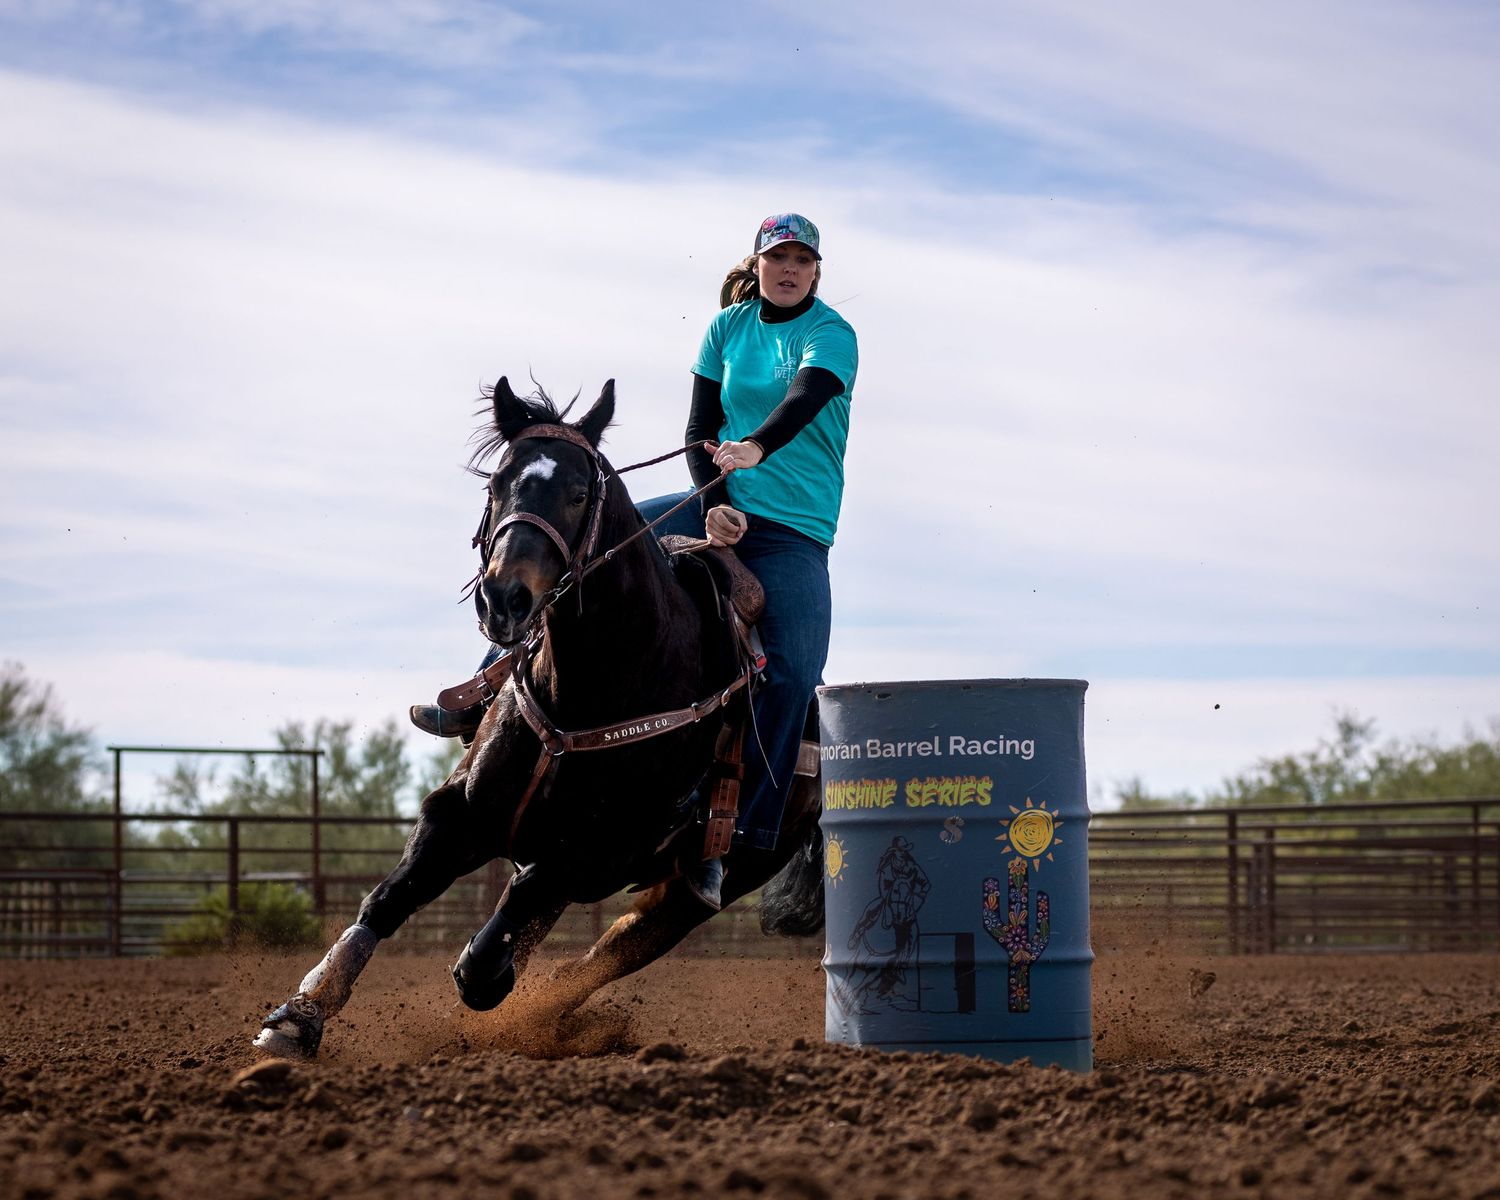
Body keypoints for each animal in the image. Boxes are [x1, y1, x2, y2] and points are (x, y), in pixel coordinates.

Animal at [255, 378, 826, 1058]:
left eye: (579, 493)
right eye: (497, 484)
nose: (505, 598)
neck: (594, 687)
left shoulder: (603, 854)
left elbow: (510, 920)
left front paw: (489, 971)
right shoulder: (459, 812)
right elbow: (387, 900)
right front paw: (299, 1016)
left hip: (708, 884)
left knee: (614, 949)